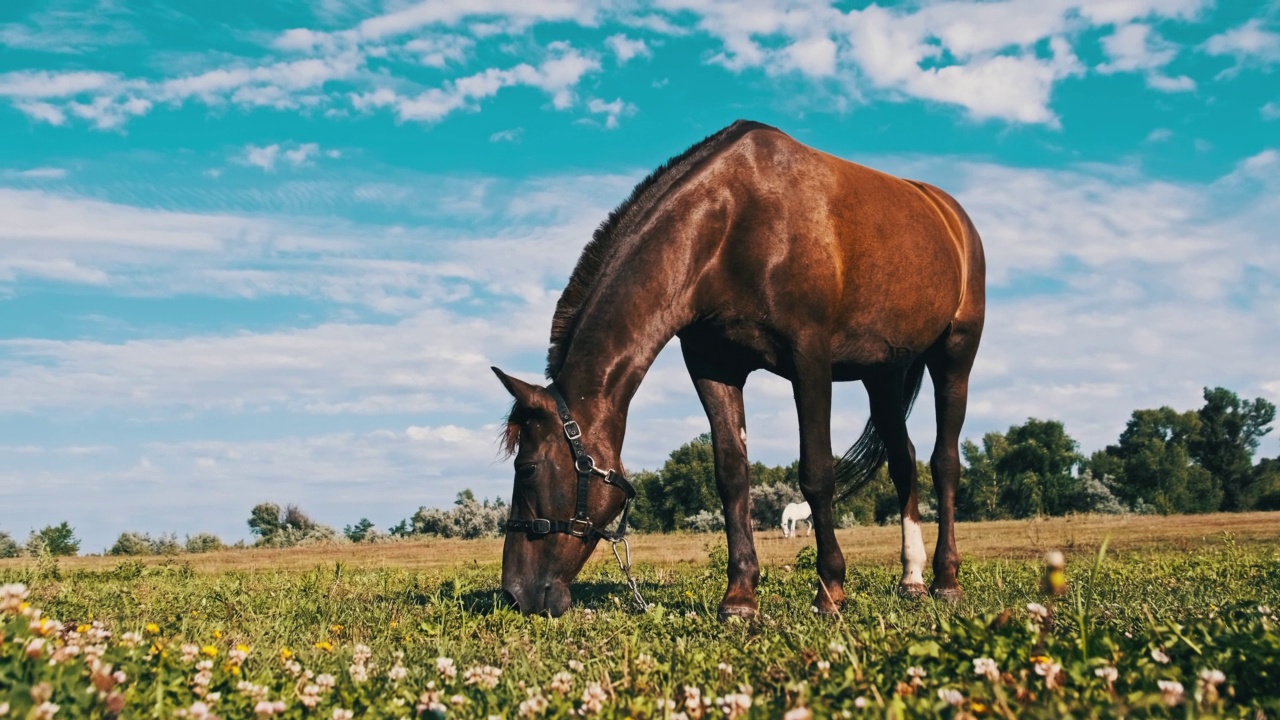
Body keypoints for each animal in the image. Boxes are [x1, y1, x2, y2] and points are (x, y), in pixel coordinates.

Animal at [494, 119, 983, 617]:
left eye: (527, 469)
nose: (514, 592)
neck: (730, 224)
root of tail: (950, 216)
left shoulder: (809, 359)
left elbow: (816, 473)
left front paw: (830, 588)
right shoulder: (714, 368)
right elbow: (732, 476)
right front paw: (740, 596)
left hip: (955, 357)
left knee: (944, 462)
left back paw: (945, 578)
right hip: (882, 374)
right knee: (903, 462)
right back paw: (912, 577)